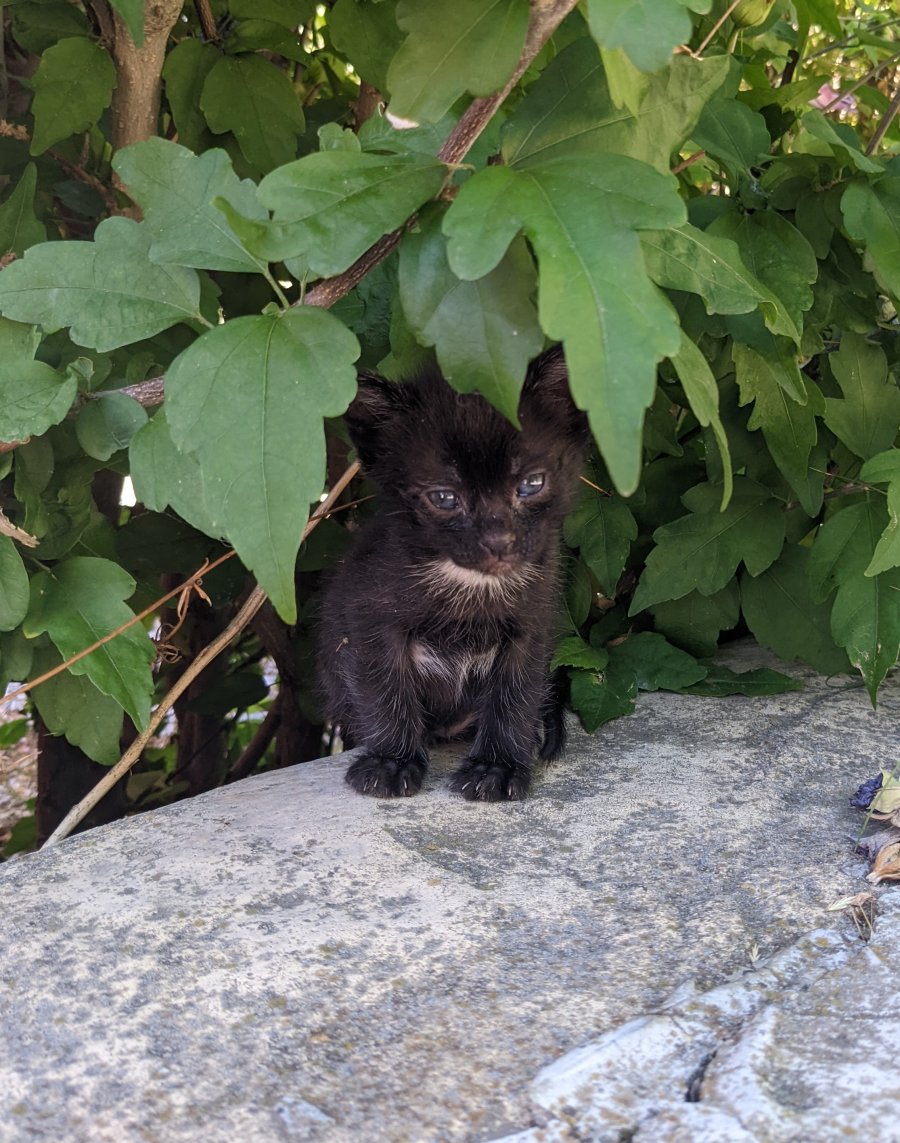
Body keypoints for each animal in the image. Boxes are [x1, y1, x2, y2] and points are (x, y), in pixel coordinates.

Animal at [317, 347, 590, 804]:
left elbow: (515, 694)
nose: (499, 541)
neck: (469, 586)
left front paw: (496, 767)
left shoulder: (532, 622)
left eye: (531, 484)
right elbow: (383, 686)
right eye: (445, 497)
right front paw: (392, 762)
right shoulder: (367, 615)